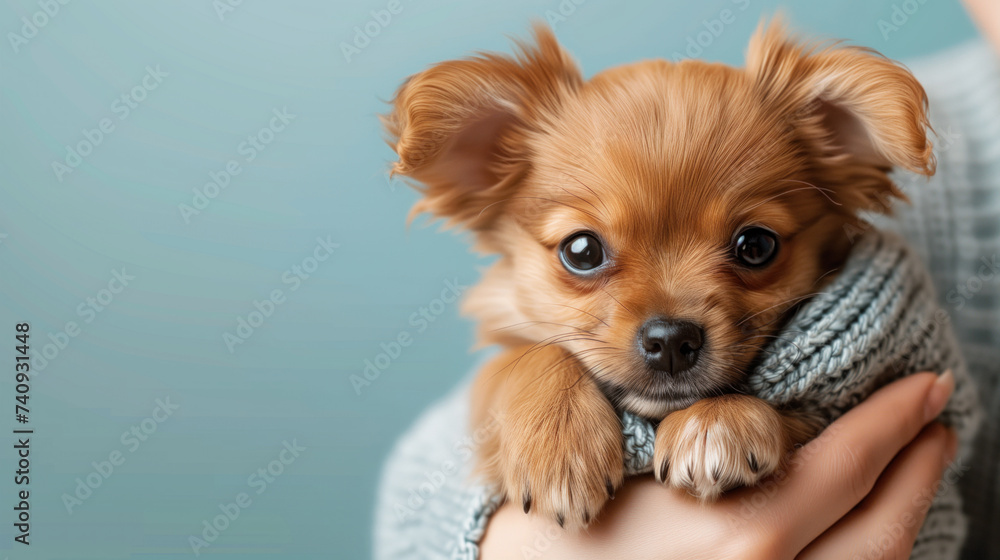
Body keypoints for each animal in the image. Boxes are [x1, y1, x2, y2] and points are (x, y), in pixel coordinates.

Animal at [380, 19, 928, 528]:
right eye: (582, 251)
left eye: (756, 246)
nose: (670, 340)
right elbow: (526, 358)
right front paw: (558, 448)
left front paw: (718, 422)